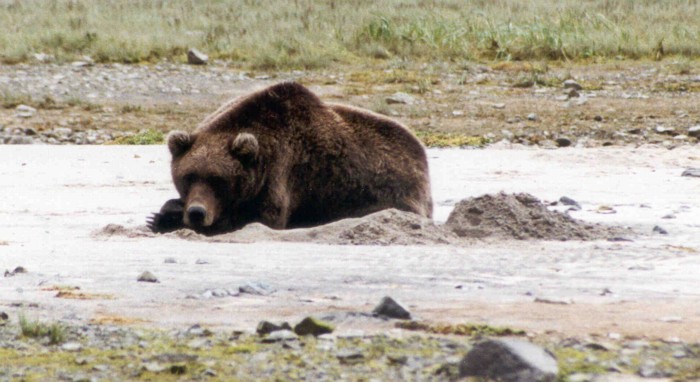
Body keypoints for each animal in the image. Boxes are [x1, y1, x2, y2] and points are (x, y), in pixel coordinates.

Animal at [148, 82, 432, 234]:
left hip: (391, 194)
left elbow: (261, 219)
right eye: (188, 176)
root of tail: (421, 152)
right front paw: (163, 213)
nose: (197, 212)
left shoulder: (282, 173)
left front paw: (168, 216)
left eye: (219, 180)